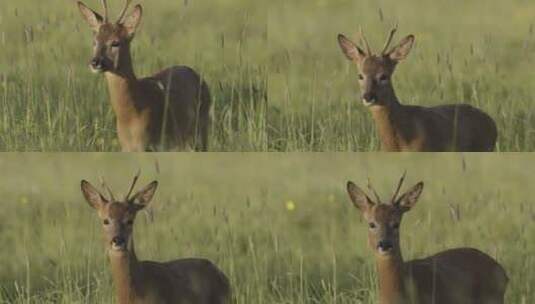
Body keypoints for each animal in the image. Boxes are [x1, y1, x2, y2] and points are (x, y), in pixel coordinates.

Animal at [77, 0, 211, 151]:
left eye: (115, 42)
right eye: (95, 41)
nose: (95, 62)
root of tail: (200, 79)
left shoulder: (149, 144)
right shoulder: (126, 147)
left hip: (201, 129)